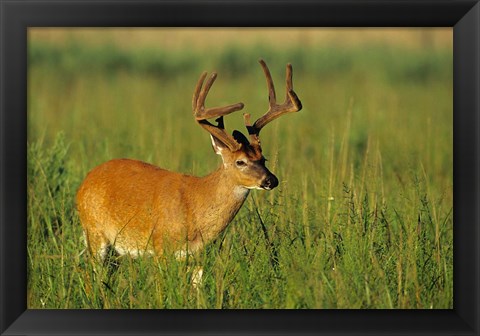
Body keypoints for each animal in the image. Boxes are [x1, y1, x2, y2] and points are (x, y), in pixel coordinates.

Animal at [76, 59, 300, 284]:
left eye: (264, 159)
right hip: (94, 233)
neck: (197, 206)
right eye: (240, 162)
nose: (271, 180)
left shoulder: (201, 256)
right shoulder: (161, 247)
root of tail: (85, 181)